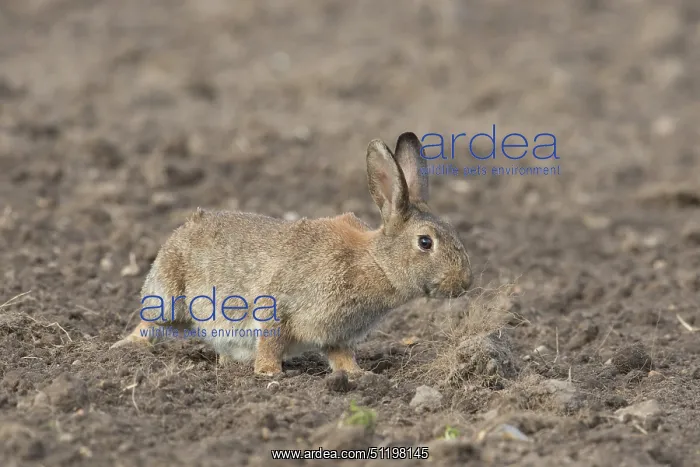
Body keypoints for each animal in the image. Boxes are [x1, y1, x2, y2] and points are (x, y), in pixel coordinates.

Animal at [110, 132, 473, 376]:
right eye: (425, 242)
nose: (465, 283)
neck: (376, 262)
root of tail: (181, 231)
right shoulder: (278, 307)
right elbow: (270, 340)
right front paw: (270, 374)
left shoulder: (336, 334)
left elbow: (341, 355)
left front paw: (357, 376)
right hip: (169, 296)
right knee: (149, 322)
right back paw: (126, 348)